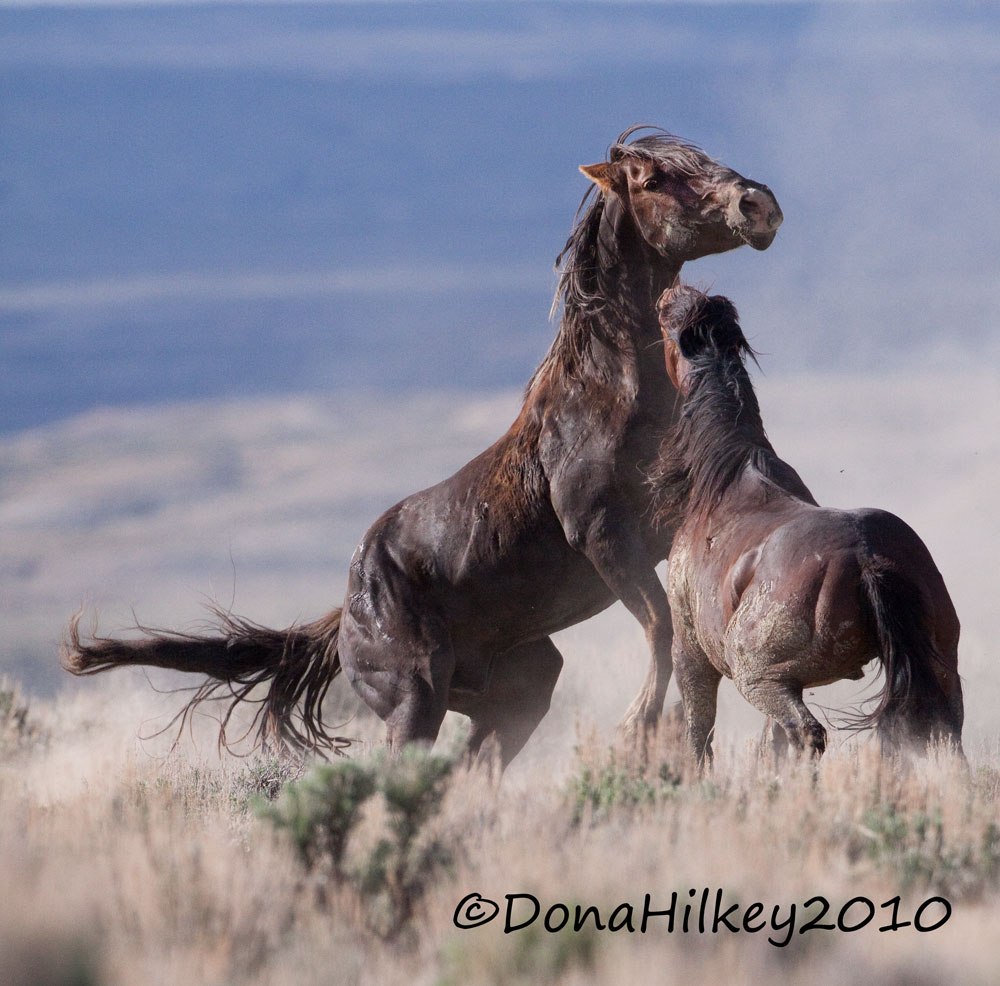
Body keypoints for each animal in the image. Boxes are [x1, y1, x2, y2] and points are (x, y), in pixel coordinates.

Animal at [64, 127, 780, 764]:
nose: (758, 203)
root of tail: (348, 612)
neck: (613, 396)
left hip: (519, 687)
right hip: (414, 699)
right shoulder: (603, 535)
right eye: (652, 179)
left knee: (472, 765)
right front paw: (640, 725)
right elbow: (659, 625)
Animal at [652, 284, 964, 760]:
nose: (668, 292)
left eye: (668, 321)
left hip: (760, 679)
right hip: (940, 668)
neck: (727, 479)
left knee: (807, 733)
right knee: (944, 737)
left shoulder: (690, 652)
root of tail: (867, 557)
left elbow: (698, 736)